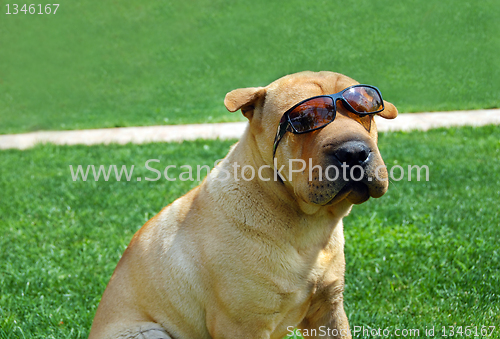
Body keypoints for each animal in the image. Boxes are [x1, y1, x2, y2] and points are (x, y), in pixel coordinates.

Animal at [88, 71, 396, 339]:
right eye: (305, 119)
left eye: (365, 111)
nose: (354, 152)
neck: (306, 226)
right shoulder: (243, 325)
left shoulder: (328, 308)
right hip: (148, 331)